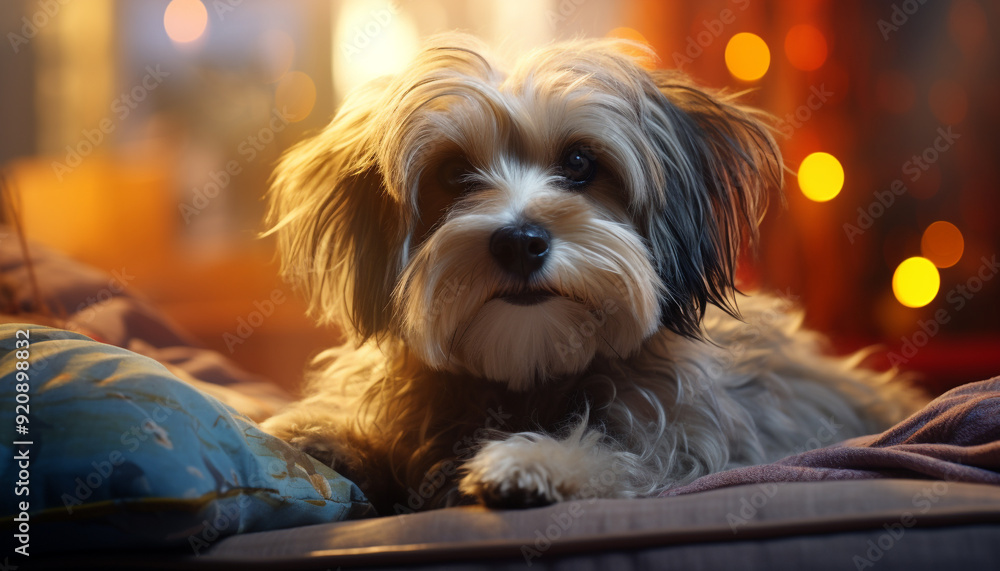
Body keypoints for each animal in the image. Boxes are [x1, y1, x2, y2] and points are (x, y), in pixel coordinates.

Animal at [262, 32, 924, 512]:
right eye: (453, 174)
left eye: (580, 163)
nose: (520, 241)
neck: (530, 374)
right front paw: (314, 430)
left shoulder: (681, 443)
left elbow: (618, 456)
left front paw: (537, 462)